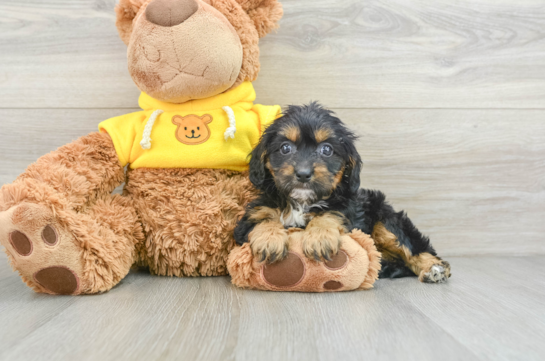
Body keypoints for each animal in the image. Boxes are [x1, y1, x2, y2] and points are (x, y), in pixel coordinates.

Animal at [234, 101, 450, 282]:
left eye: (327, 150)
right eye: (285, 148)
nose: (303, 174)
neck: (302, 202)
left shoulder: (349, 208)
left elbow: (331, 212)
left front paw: (320, 237)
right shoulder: (251, 217)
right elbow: (263, 219)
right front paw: (269, 239)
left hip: (385, 217)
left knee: (412, 245)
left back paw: (434, 267)